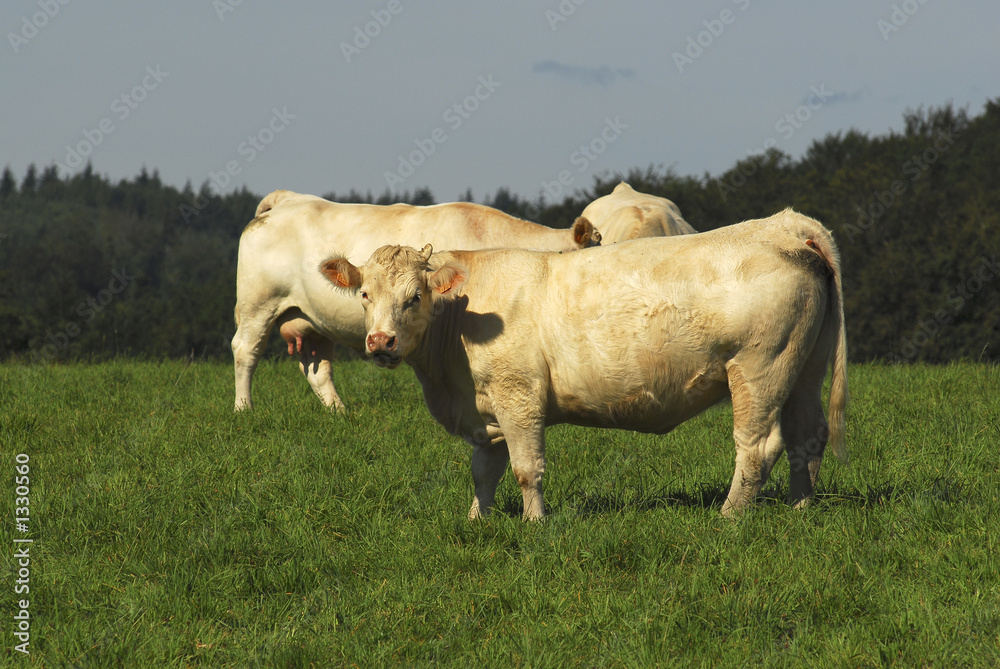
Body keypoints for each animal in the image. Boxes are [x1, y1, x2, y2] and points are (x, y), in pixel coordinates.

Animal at [232, 190, 600, 411]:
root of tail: (287, 200)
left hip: (311, 321)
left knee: (317, 367)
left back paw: (339, 412)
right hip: (257, 304)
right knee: (245, 351)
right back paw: (244, 408)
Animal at [319, 208, 848, 519]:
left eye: (414, 297)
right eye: (365, 295)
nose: (380, 341)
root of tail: (785, 224)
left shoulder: (519, 396)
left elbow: (525, 468)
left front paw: (534, 524)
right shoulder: (488, 407)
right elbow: (484, 470)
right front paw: (477, 521)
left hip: (761, 369)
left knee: (758, 446)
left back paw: (728, 517)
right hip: (804, 367)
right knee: (806, 437)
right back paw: (800, 509)